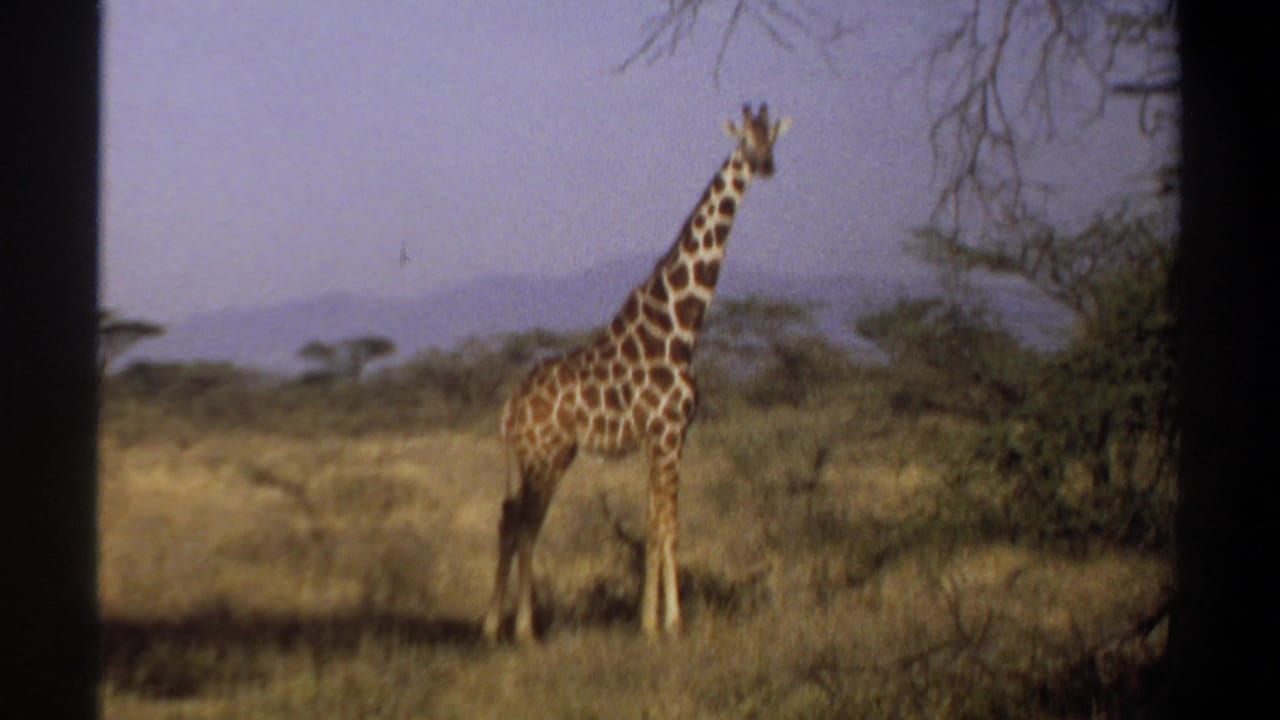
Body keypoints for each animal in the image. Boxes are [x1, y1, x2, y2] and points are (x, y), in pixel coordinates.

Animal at [482, 103, 790, 643]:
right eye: (743, 140)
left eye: (770, 137)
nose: (765, 166)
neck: (680, 328)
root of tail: (510, 407)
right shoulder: (666, 431)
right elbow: (666, 526)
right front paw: (665, 622)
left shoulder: (667, 436)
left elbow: (657, 523)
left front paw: (654, 618)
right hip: (543, 457)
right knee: (524, 524)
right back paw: (522, 628)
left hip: (542, 456)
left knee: (513, 520)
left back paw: (496, 625)